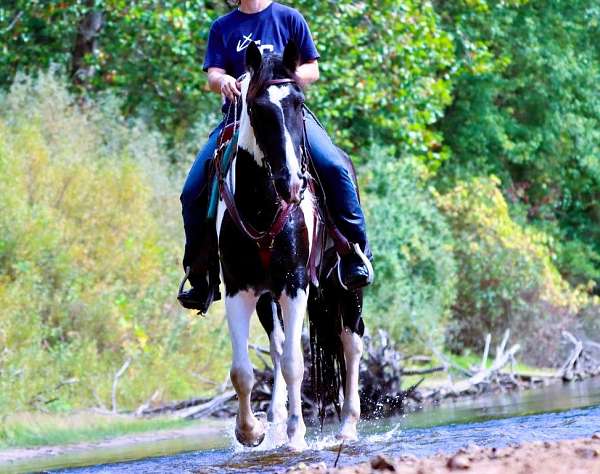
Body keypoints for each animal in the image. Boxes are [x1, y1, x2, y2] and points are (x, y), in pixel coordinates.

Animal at [217, 39, 364, 448]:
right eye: (256, 108)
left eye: (299, 102)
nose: (293, 184)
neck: (264, 207)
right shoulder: (238, 289)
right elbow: (242, 370)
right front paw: (251, 431)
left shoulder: (295, 283)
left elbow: (296, 364)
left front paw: (297, 436)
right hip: (269, 298)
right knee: (279, 344)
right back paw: (277, 418)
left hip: (345, 285)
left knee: (352, 343)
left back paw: (348, 426)